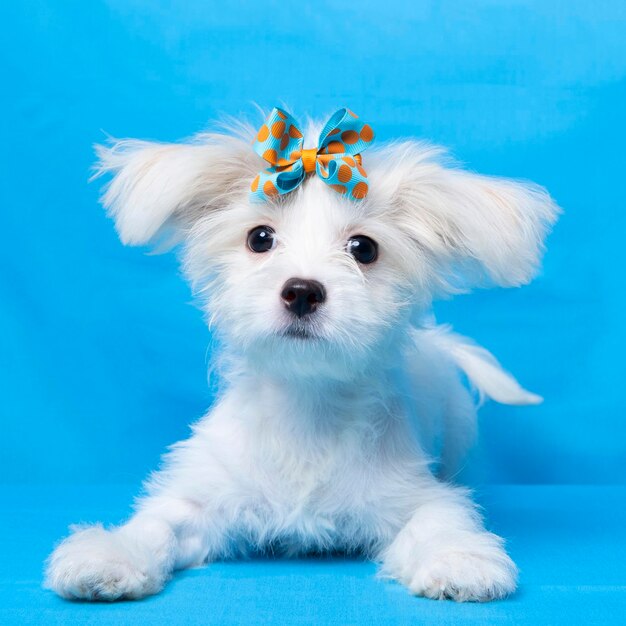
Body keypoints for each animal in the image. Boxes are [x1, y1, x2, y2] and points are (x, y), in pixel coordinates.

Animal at [46, 109, 560, 604]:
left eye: (363, 248)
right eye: (260, 238)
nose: (301, 291)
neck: (308, 409)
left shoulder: (409, 493)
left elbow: (438, 518)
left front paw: (458, 559)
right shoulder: (204, 499)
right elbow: (159, 524)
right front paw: (113, 553)